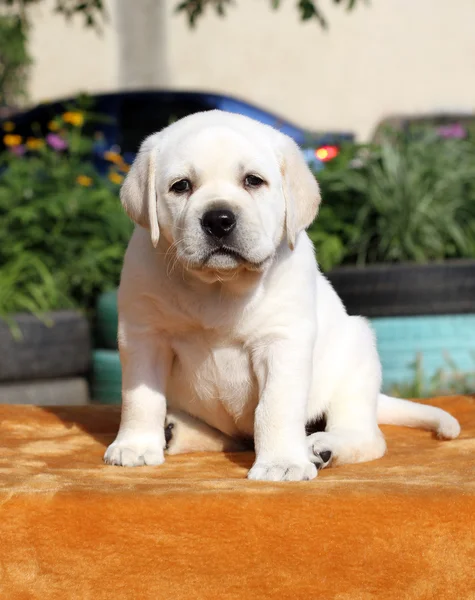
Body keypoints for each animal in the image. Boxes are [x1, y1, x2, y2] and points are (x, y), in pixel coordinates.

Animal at [105, 110, 462, 480]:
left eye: (253, 181)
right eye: (181, 186)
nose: (218, 220)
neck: (219, 286)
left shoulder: (282, 342)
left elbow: (275, 407)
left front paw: (281, 463)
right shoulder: (144, 336)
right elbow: (141, 398)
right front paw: (135, 445)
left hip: (356, 358)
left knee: (367, 436)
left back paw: (322, 446)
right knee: (223, 436)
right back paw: (175, 432)